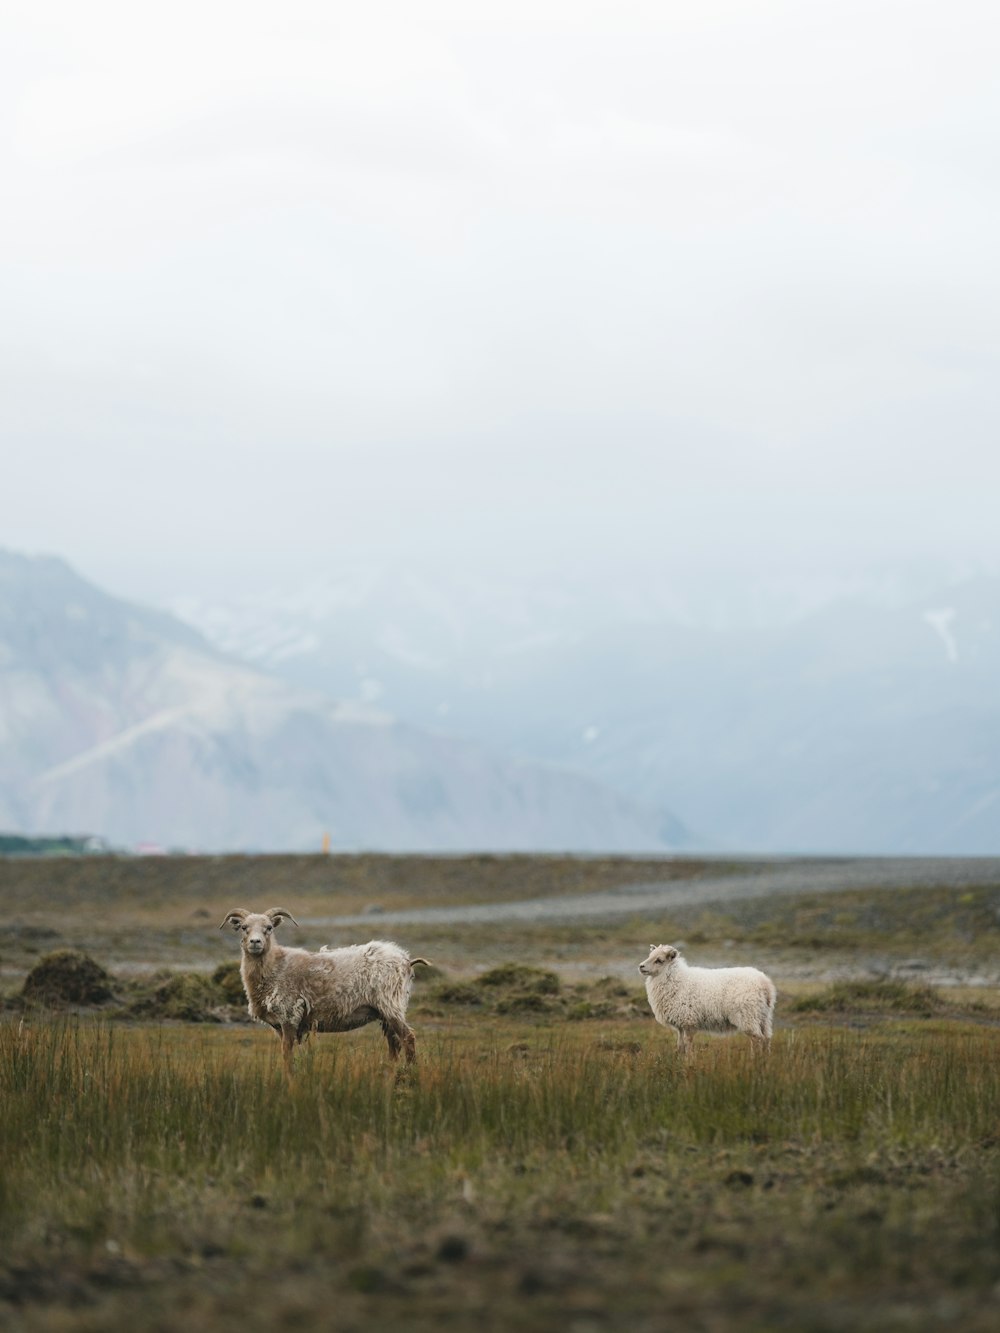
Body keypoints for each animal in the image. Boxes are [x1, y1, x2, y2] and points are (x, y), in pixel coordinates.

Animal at [221, 911, 429, 1077]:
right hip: (385, 1011)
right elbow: (288, 1053)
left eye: (269, 928)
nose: (255, 942)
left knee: (408, 1038)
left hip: (391, 1003)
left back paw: (410, 1072)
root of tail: (406, 960)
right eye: (244, 928)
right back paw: (390, 1072)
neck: (275, 966)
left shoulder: (289, 1015)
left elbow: (287, 1053)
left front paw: (289, 1078)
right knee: (394, 1043)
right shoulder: (279, 1025)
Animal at [642, 943, 773, 1055]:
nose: (641, 966)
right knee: (766, 1038)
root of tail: (765, 983)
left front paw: (689, 1061)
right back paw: (764, 1061)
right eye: (649, 956)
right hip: (763, 1017)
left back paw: (753, 1060)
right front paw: (680, 1058)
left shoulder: (688, 1020)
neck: (676, 979)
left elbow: (688, 1043)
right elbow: (680, 1044)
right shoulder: (680, 1024)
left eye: (659, 960)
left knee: (757, 1039)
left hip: (747, 1015)